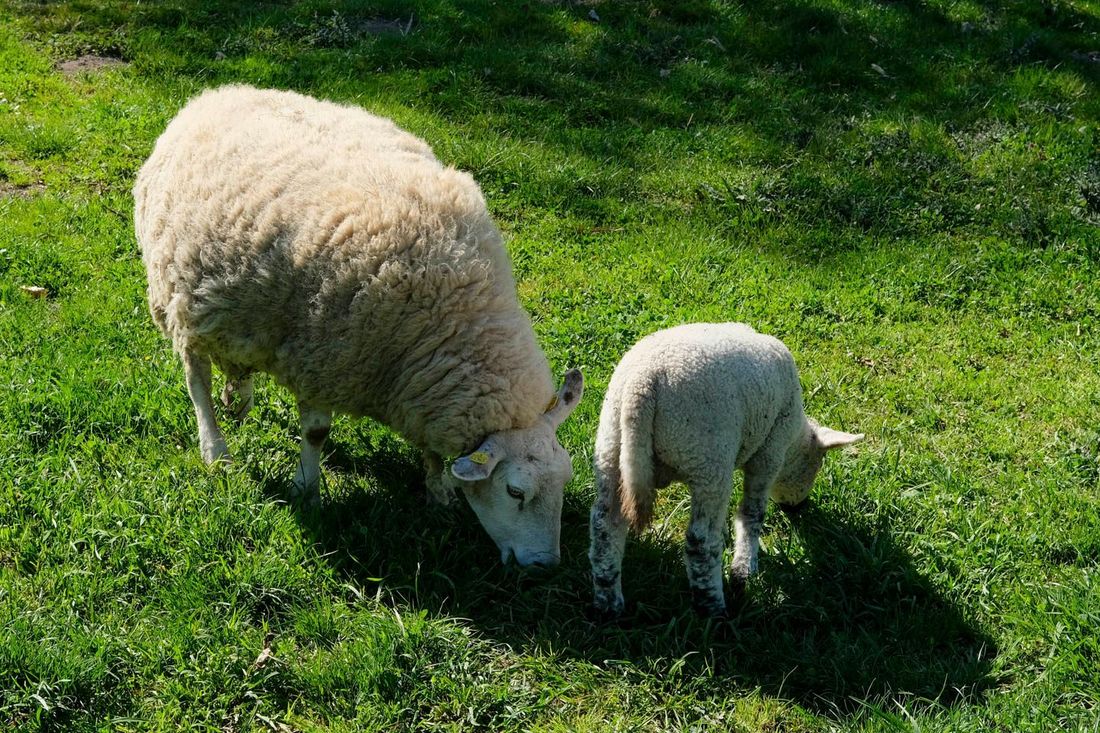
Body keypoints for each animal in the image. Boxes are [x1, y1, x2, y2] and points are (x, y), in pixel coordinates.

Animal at [133, 84, 584, 568]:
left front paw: (438, 490)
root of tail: (213, 94)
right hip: (178, 297)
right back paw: (215, 448)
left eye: (565, 480)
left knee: (235, 362)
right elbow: (316, 433)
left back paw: (239, 398)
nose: (545, 565)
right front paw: (307, 489)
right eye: (515, 491)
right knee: (196, 377)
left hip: (239, 308)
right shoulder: (321, 355)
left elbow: (431, 452)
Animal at [588, 322, 862, 616]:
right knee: (700, 541)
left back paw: (608, 603)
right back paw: (713, 607)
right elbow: (752, 513)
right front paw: (744, 569)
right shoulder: (769, 451)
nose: (798, 509)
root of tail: (642, 386)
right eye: (815, 466)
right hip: (708, 459)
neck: (794, 441)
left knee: (605, 525)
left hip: (611, 449)